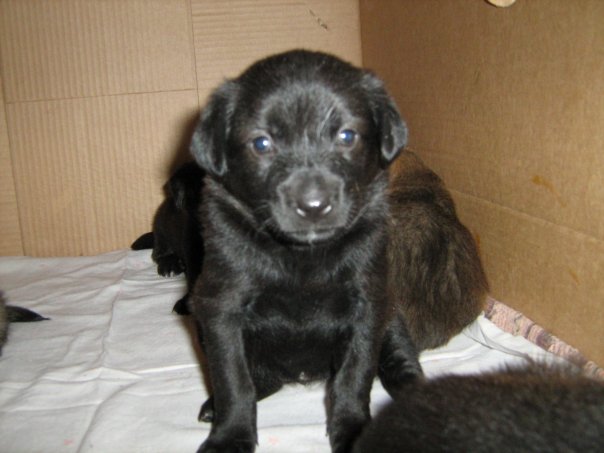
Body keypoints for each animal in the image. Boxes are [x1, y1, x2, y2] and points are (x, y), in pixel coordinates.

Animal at [188, 50, 422, 452]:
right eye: (262, 143)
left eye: (347, 136)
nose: (313, 206)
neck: (302, 256)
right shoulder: (220, 308)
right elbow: (234, 381)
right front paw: (230, 436)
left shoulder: (369, 302)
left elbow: (354, 376)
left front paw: (353, 429)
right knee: (257, 379)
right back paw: (213, 406)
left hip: (392, 319)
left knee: (399, 359)